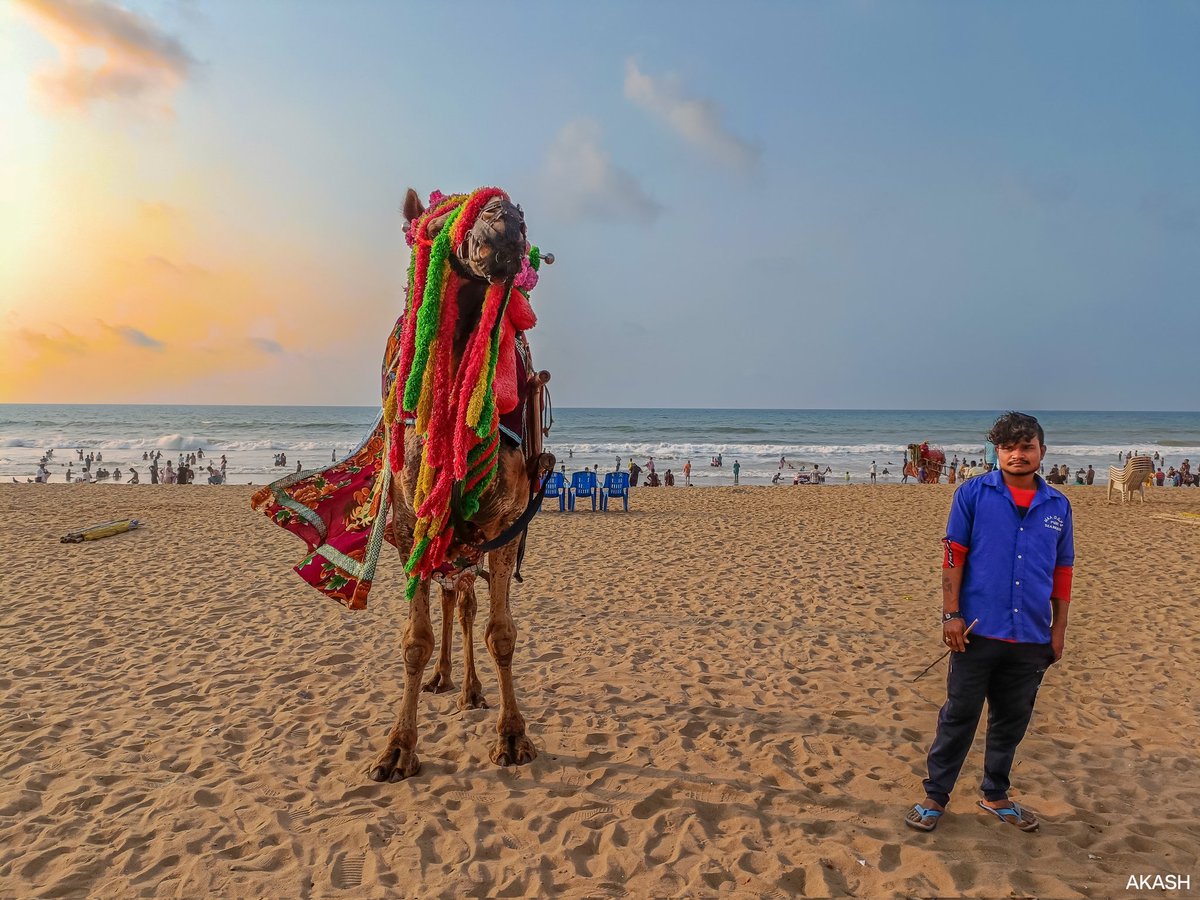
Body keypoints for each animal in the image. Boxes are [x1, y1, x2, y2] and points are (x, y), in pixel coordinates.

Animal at [255, 188, 554, 782]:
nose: (506, 219)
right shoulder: (409, 525)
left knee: (464, 602)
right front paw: (397, 748)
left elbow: (501, 633)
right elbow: (415, 640)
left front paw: (512, 737)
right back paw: (445, 679)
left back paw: (469, 690)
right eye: (431, 226)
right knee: (451, 598)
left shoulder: (506, 522)